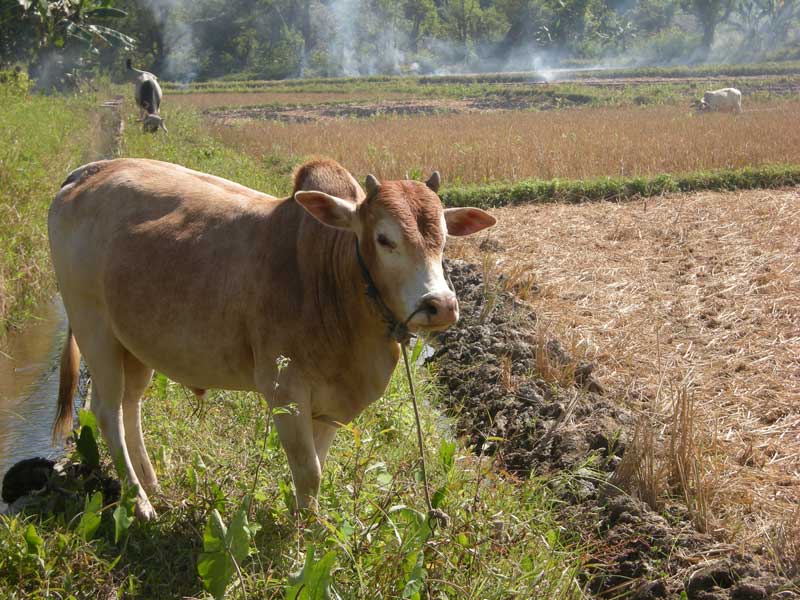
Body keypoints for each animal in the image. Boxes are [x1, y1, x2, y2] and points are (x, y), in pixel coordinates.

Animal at [50, 157, 494, 516]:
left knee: (131, 406)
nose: (440, 305)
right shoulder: (284, 390)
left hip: (134, 344)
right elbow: (309, 472)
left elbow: (317, 465)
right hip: (94, 329)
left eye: (444, 239)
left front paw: (304, 521)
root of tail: (85, 173)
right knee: (107, 411)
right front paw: (307, 533)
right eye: (385, 239)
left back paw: (152, 484)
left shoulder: (330, 406)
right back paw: (139, 501)